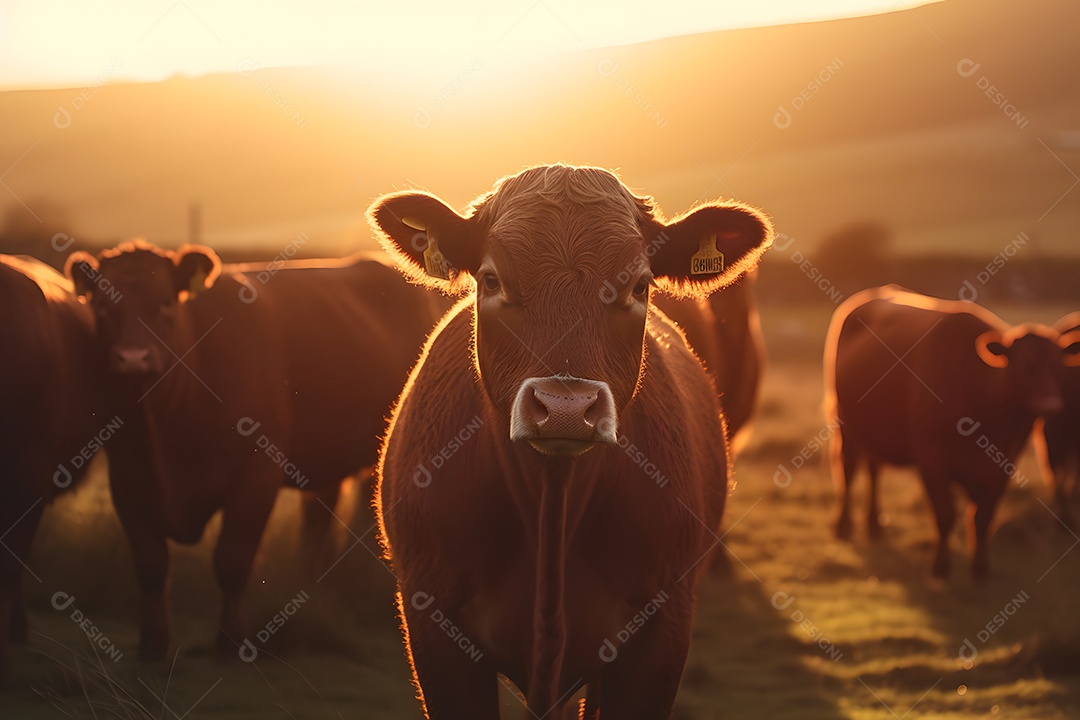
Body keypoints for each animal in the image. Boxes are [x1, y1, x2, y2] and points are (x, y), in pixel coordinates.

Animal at [65, 245, 444, 660]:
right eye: (102, 306)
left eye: (165, 302)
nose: (134, 358)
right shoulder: (127, 482)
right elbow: (151, 566)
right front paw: (153, 644)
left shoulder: (256, 479)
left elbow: (232, 562)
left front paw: (230, 642)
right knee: (318, 516)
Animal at [367, 165, 773, 720]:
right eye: (491, 280)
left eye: (639, 285)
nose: (565, 407)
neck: (551, 497)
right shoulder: (433, 622)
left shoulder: (661, 632)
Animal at [820, 284, 1075, 578]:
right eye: (1025, 366)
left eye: (1059, 366)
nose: (1050, 404)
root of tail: (879, 292)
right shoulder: (931, 458)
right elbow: (945, 515)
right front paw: (940, 567)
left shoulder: (1003, 465)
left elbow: (984, 517)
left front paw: (980, 569)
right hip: (845, 423)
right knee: (848, 470)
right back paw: (843, 526)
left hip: (873, 433)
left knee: (874, 470)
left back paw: (874, 524)